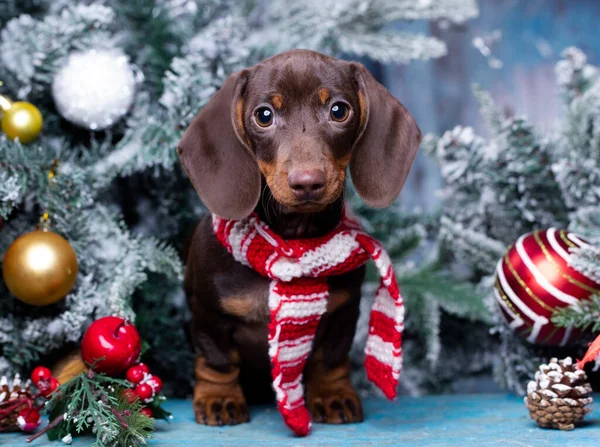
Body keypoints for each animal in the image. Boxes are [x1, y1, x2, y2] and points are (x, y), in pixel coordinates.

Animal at [178, 49, 420, 428]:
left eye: (339, 110)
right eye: (264, 115)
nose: (307, 182)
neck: (293, 241)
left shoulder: (343, 310)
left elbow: (330, 357)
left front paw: (332, 393)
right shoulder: (206, 310)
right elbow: (218, 358)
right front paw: (219, 397)